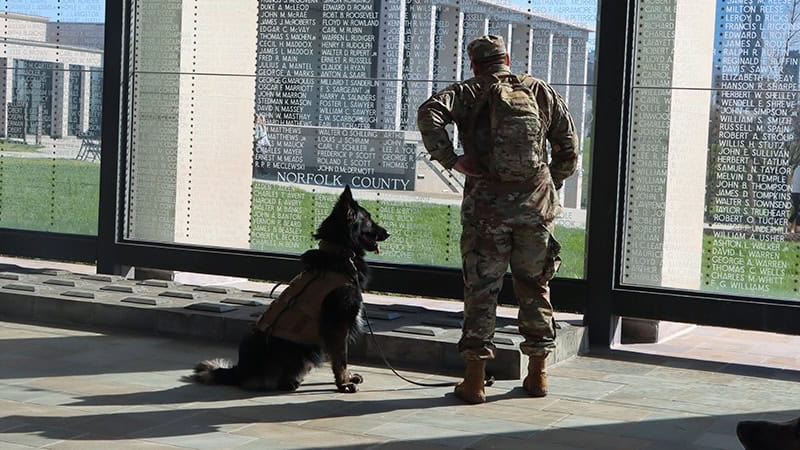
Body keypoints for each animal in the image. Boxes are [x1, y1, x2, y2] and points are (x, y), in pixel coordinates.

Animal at [189, 186, 386, 394]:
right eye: (368, 219)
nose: (388, 233)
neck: (339, 251)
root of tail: (240, 370)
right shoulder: (338, 325)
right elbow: (341, 359)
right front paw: (343, 383)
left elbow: (341, 359)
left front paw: (347, 378)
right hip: (295, 349)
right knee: (257, 382)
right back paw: (287, 382)